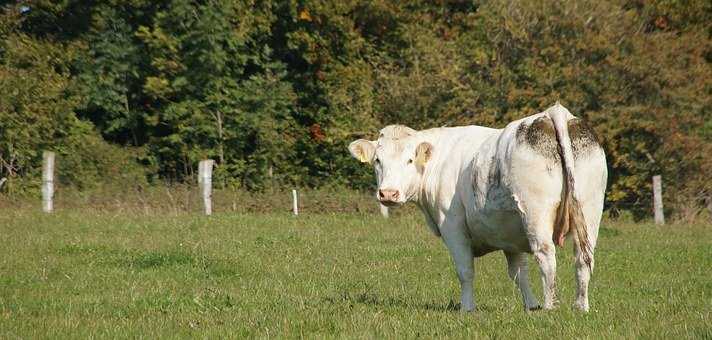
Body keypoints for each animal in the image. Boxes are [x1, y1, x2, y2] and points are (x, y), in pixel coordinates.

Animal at [350, 103, 608, 310]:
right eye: (377, 161)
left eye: (410, 160)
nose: (388, 193)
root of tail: (552, 113)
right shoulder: (509, 232)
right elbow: (519, 273)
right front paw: (530, 306)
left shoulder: (452, 226)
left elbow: (465, 271)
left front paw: (467, 308)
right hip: (590, 209)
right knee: (584, 258)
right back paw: (580, 307)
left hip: (536, 213)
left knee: (546, 257)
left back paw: (550, 308)